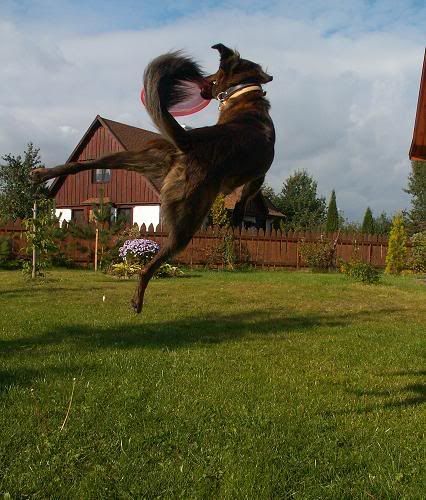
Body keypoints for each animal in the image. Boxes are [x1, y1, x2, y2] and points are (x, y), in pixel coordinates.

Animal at [32, 43, 275, 313]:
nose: (203, 81)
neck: (245, 97)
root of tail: (190, 142)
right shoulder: (258, 176)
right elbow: (245, 197)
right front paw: (239, 215)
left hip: (139, 157)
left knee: (87, 164)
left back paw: (41, 174)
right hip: (187, 218)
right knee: (150, 266)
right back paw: (137, 300)